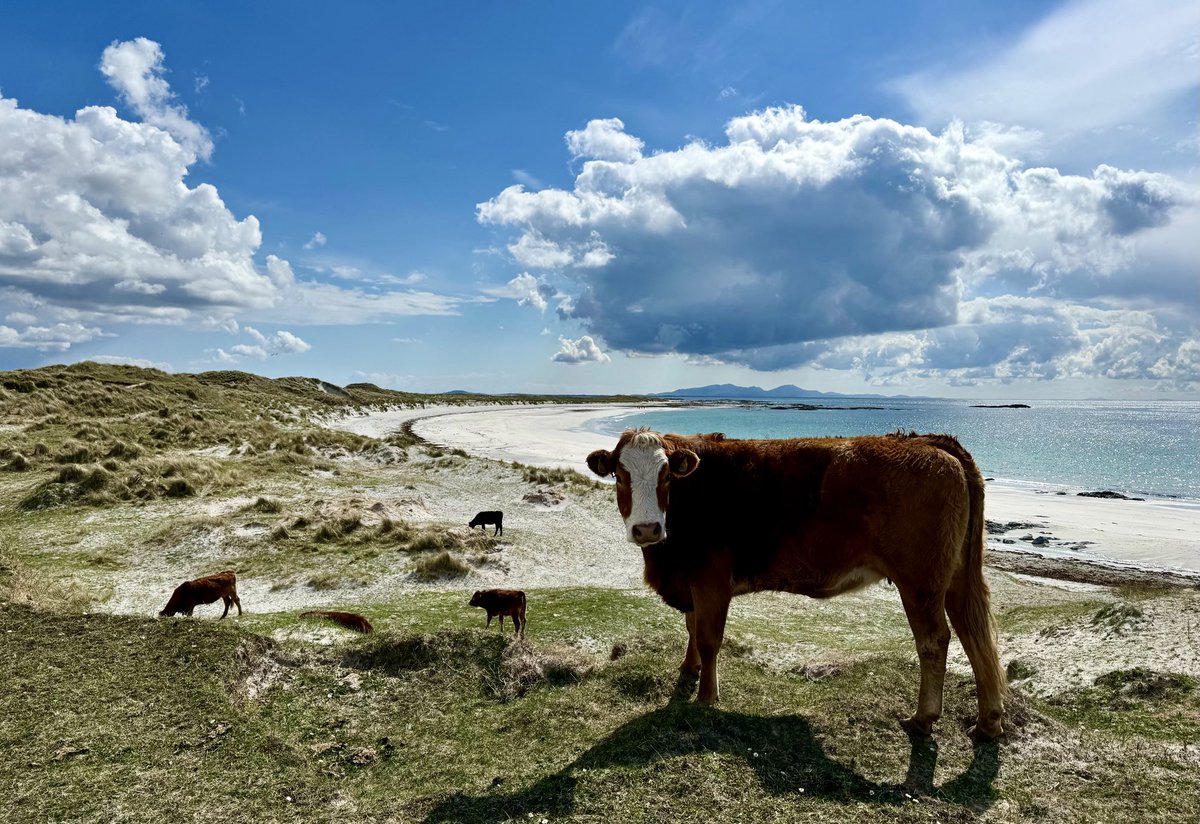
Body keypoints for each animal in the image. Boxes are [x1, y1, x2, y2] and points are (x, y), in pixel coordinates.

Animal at [585, 429, 1008, 743]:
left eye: (666, 475)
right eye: (620, 475)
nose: (646, 529)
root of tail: (926, 442)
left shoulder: (710, 579)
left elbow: (708, 638)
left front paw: (706, 697)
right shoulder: (691, 580)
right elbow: (691, 627)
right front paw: (688, 671)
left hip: (920, 581)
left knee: (935, 640)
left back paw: (923, 718)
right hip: (954, 578)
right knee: (976, 636)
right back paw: (988, 722)